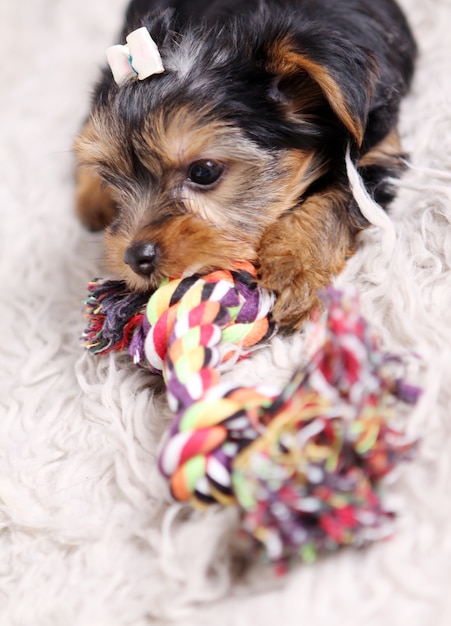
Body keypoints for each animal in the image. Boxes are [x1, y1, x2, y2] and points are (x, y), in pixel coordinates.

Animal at [74, 0, 416, 330]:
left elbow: (344, 194)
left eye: (203, 172)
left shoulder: (375, 146)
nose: (134, 257)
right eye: (112, 179)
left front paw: (295, 263)